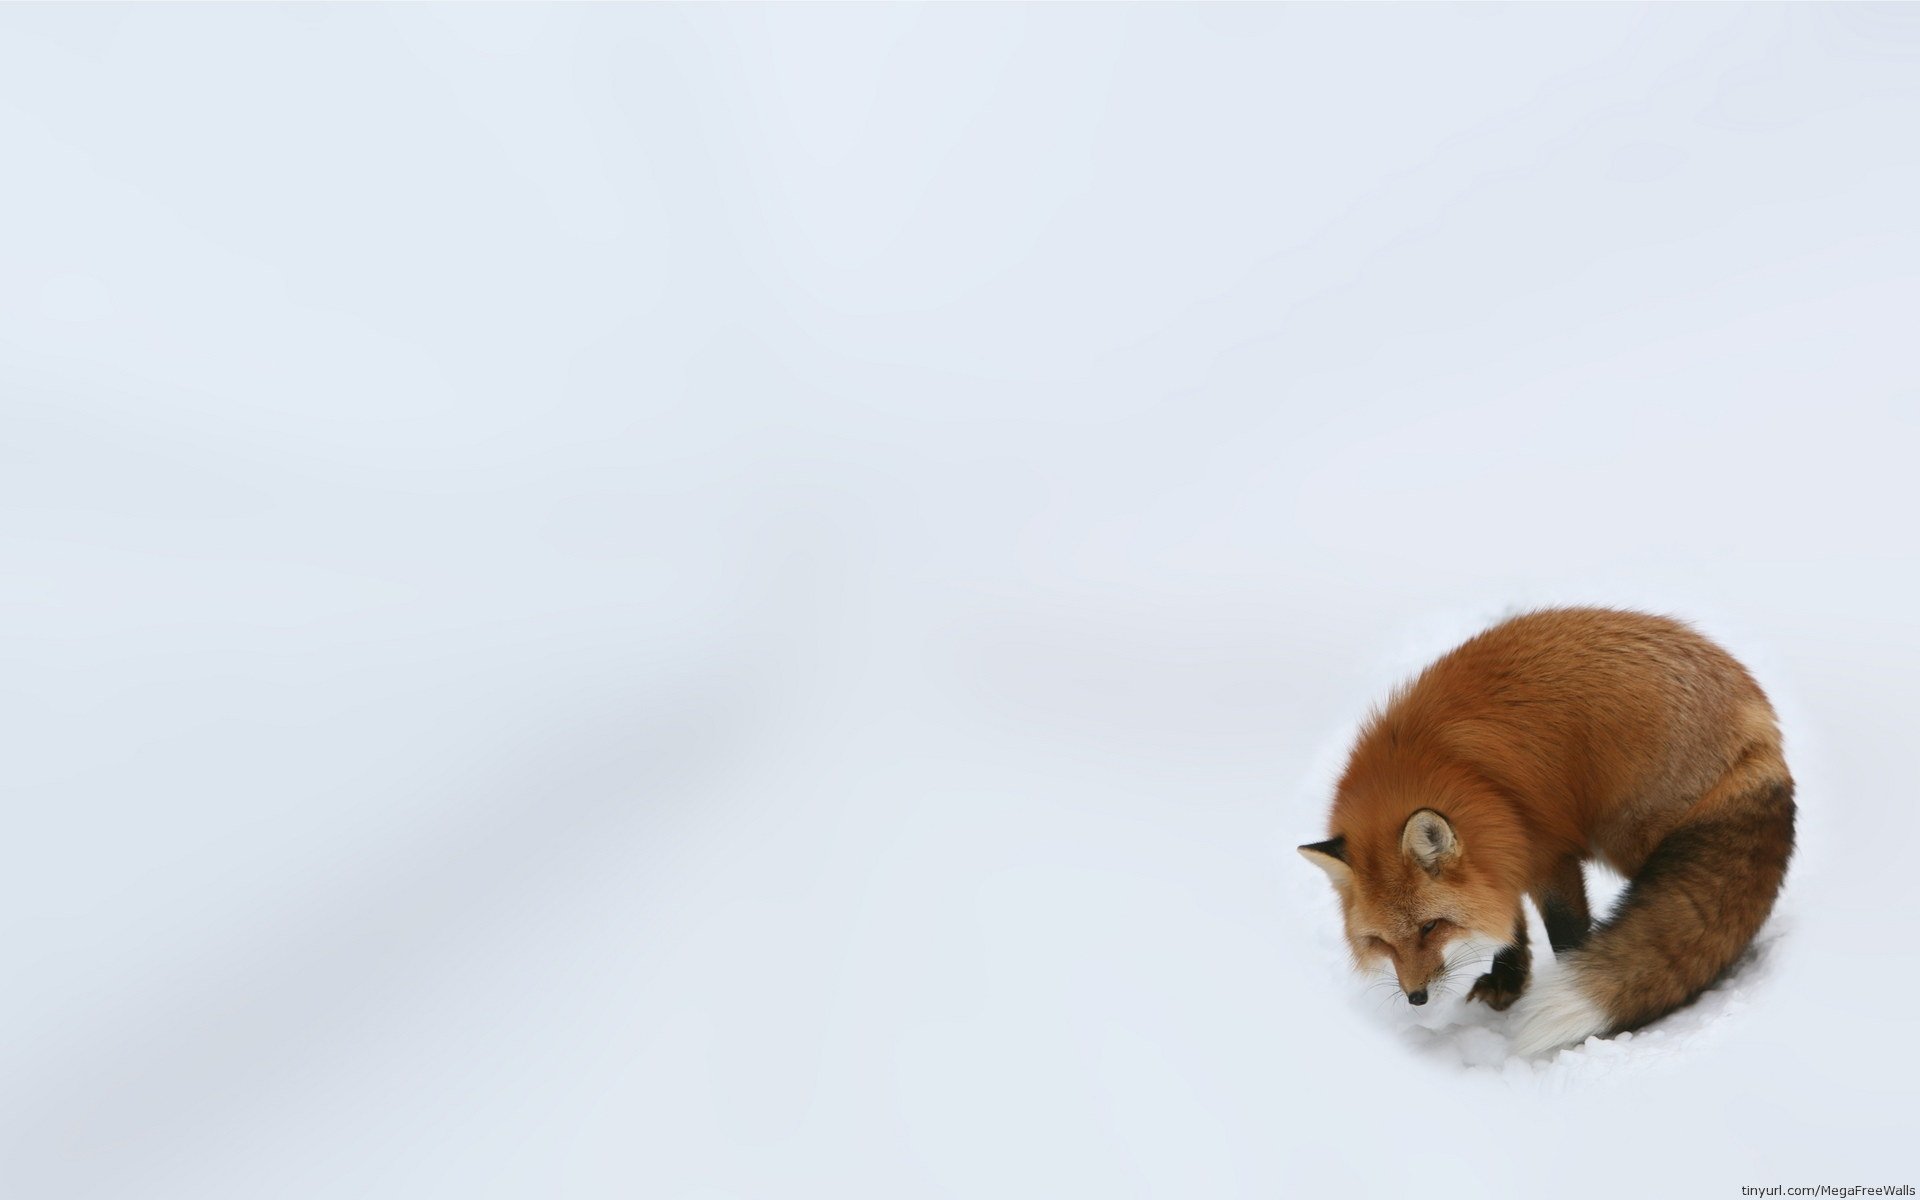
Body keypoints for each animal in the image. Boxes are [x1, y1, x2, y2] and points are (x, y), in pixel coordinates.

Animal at [1299, 607, 1795, 1055]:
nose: (1416, 996)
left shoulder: (1545, 851)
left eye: (1431, 927)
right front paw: (1508, 979)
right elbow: (1509, 922)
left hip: (1632, 836)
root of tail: (1759, 724)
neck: (1465, 774)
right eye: (1381, 942)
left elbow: (1564, 931)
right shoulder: (1503, 855)